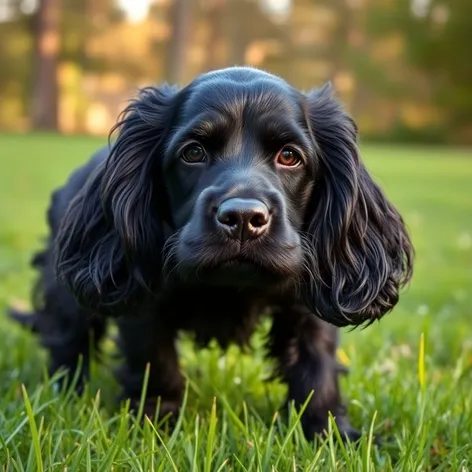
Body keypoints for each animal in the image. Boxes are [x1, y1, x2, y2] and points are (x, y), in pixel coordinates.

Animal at [11, 68, 412, 440]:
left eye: (289, 156)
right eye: (193, 152)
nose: (244, 219)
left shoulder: (308, 304)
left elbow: (316, 368)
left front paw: (331, 434)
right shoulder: (145, 304)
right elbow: (156, 363)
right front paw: (159, 425)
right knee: (69, 342)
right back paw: (64, 396)